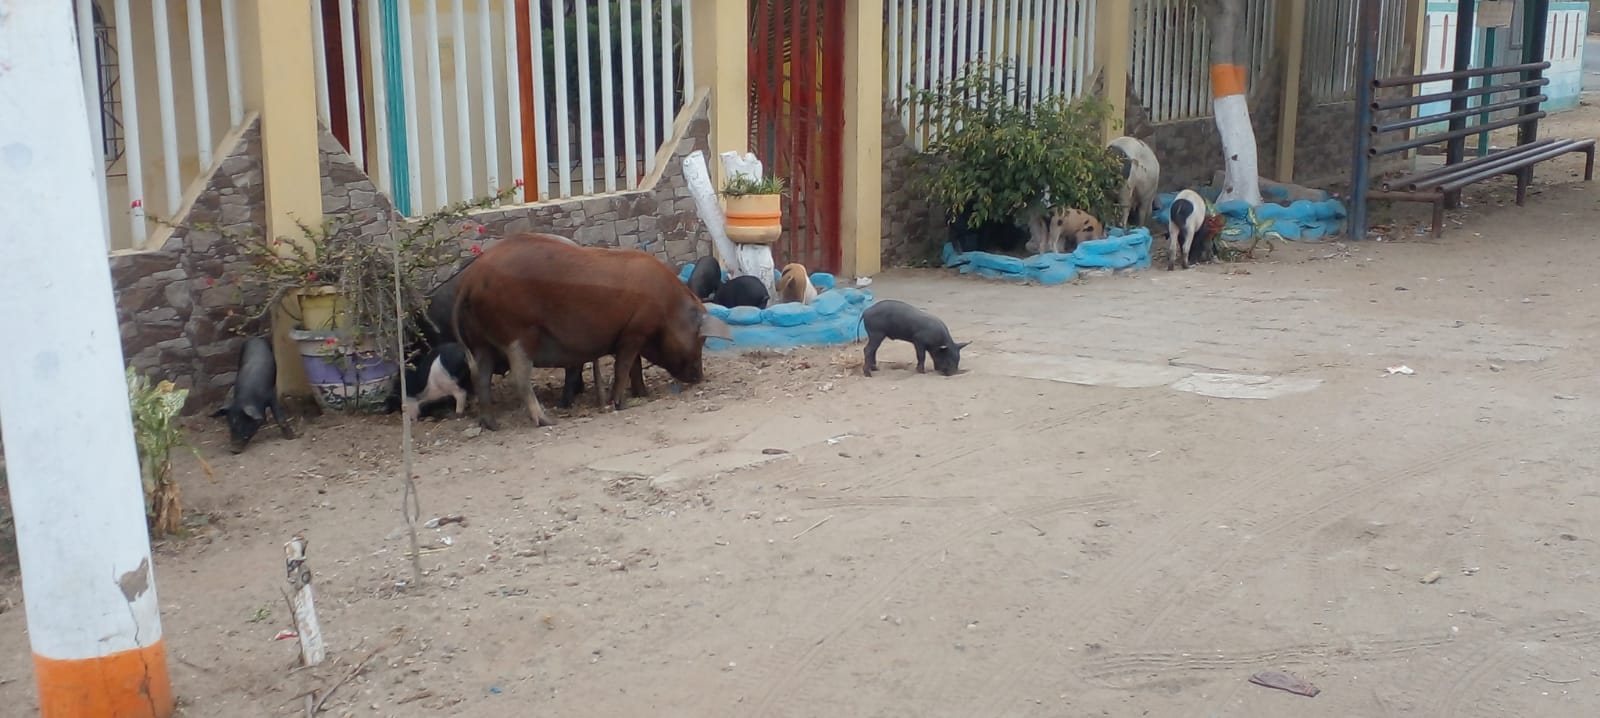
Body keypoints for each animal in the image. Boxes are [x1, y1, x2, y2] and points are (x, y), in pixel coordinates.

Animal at [452, 232, 733, 430]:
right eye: (701, 339)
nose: (700, 377)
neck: (668, 309)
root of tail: (469, 281)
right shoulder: (634, 333)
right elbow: (623, 367)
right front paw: (620, 404)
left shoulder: (632, 334)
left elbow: (635, 367)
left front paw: (643, 394)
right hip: (518, 334)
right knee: (519, 378)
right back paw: (547, 421)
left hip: (481, 342)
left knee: (480, 377)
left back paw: (491, 425)